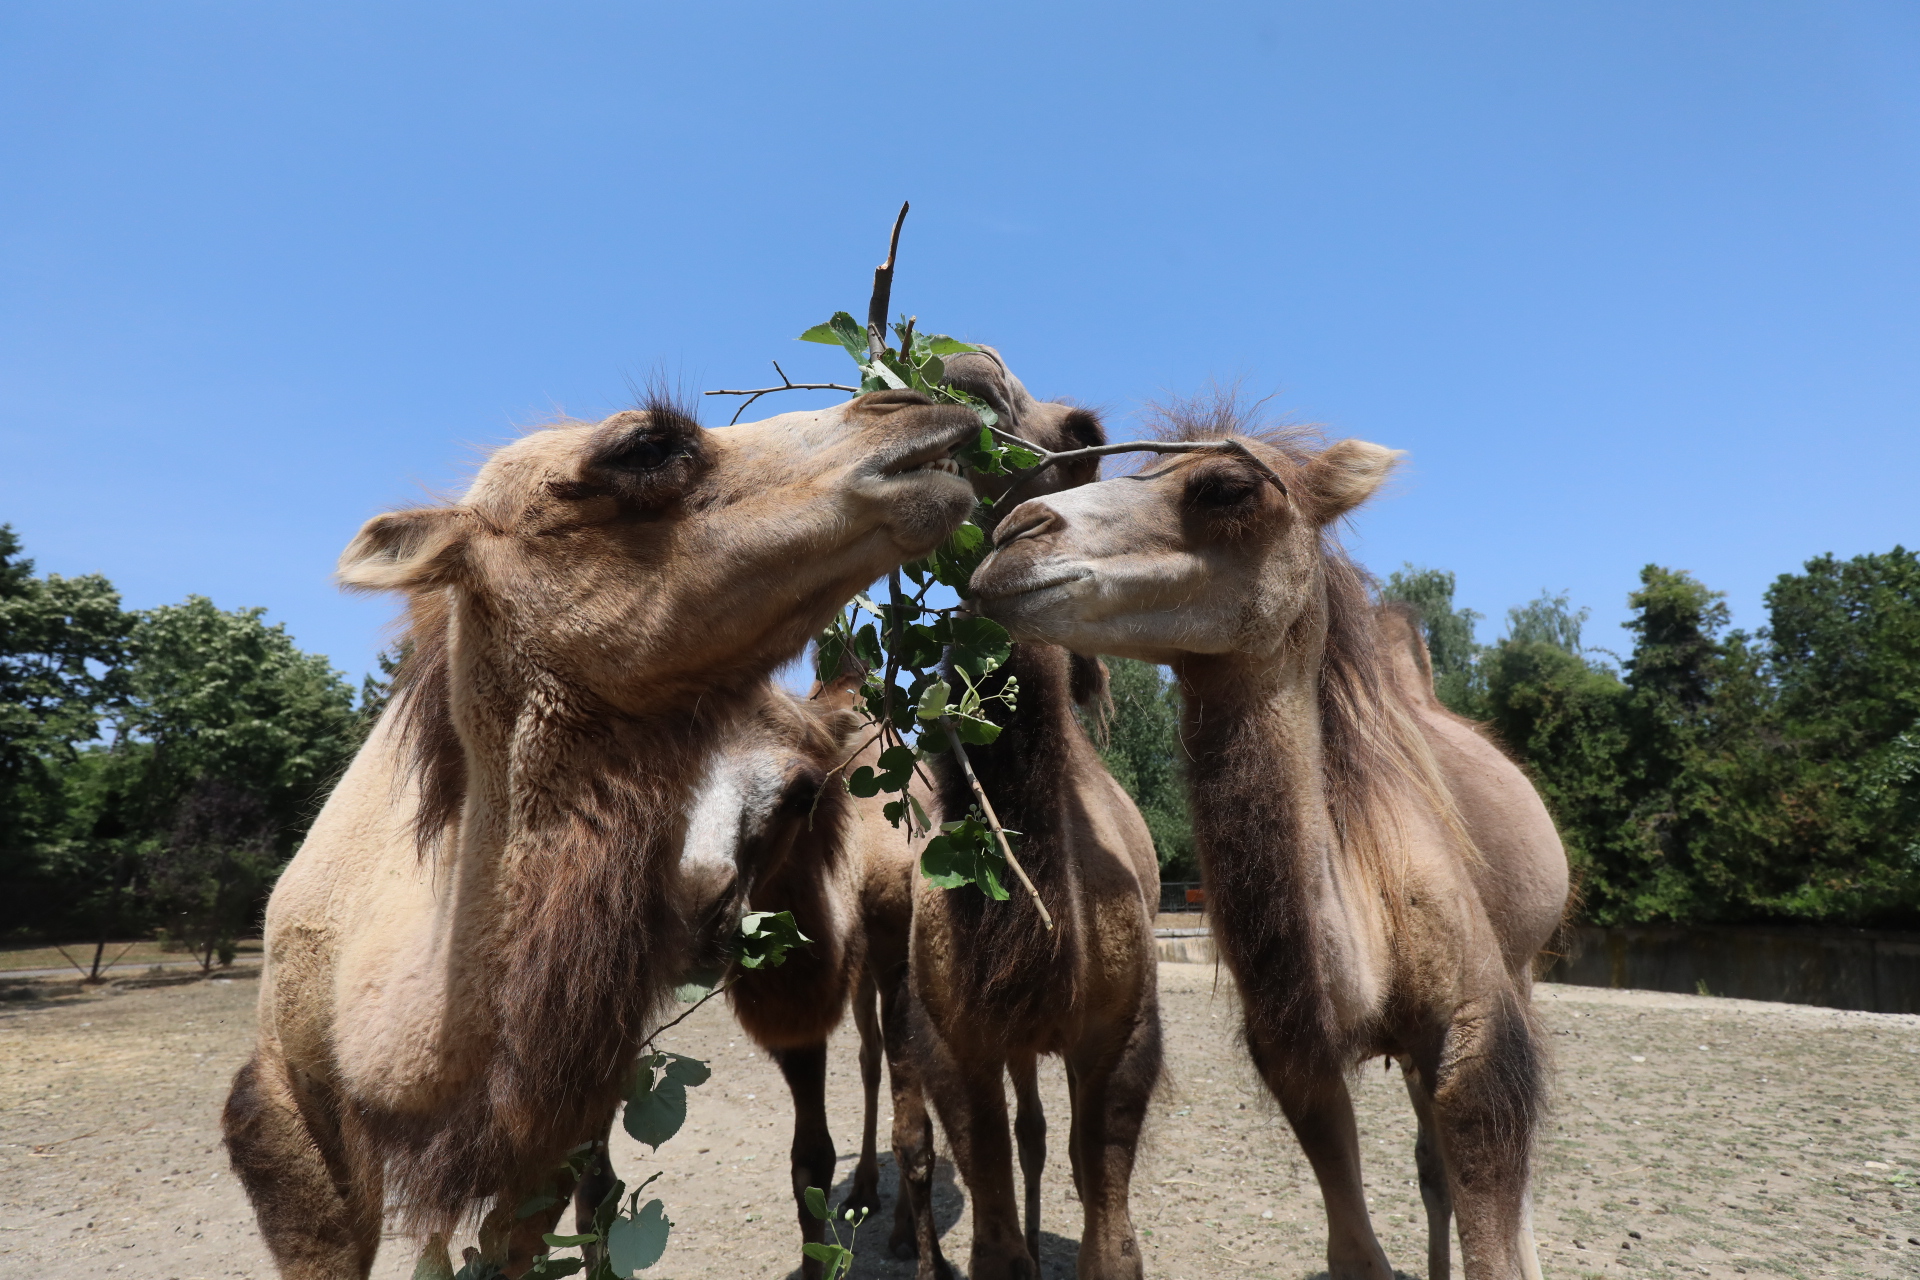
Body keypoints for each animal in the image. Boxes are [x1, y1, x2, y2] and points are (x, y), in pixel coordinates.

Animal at [906, 351, 1159, 1280]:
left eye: (1082, 434)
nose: (967, 369)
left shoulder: (1122, 1037)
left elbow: (1108, 1231)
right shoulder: (956, 1039)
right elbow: (995, 1234)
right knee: (1027, 1131)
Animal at [967, 410, 1566, 1280]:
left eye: (1227, 488)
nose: (1013, 537)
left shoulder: (1475, 1029)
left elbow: (1495, 1212)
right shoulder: (1294, 1056)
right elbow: (1354, 1245)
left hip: (1523, 964)